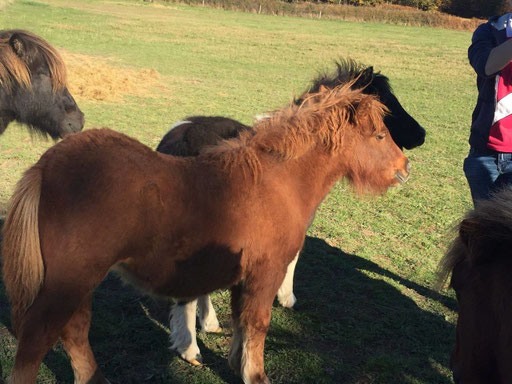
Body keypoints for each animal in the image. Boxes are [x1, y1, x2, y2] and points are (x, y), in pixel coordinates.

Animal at [0, 82, 408, 382]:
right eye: (378, 136)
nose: (404, 168)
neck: (277, 180)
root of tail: (45, 167)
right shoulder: (266, 273)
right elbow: (258, 324)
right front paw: (255, 375)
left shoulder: (243, 277)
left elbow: (242, 325)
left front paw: (236, 364)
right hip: (68, 281)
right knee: (38, 340)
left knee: (75, 331)